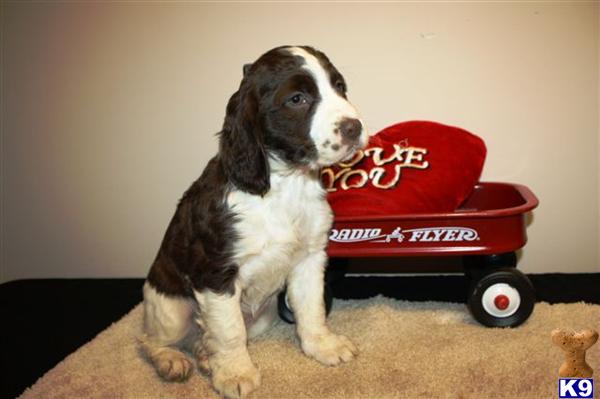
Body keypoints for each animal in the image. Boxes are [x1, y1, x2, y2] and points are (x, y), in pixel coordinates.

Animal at [143, 45, 368, 398]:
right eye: (297, 99)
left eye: (340, 87)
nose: (353, 127)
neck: (284, 186)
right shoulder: (215, 272)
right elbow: (230, 331)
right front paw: (236, 374)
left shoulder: (309, 259)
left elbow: (312, 309)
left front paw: (323, 346)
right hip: (170, 308)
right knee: (151, 340)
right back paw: (172, 360)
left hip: (265, 315)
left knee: (204, 337)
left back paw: (205, 356)